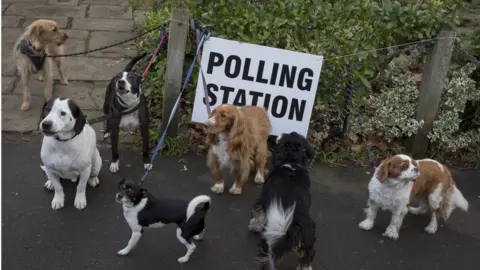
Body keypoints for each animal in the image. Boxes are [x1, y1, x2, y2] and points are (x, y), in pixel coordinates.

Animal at [249, 132, 316, 268]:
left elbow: (258, 214)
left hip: (270, 244)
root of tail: (294, 230)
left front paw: (254, 226)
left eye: (284, 136)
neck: (291, 163)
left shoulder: (262, 199)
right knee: (305, 262)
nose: (272, 136)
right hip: (307, 246)